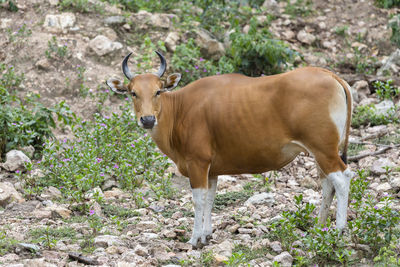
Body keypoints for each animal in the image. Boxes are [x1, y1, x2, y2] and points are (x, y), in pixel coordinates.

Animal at [106, 51, 354, 248]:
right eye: (133, 92)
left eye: (158, 91)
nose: (148, 120)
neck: (181, 109)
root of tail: (332, 76)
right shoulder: (211, 170)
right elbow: (210, 198)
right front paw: (206, 235)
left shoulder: (197, 163)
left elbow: (198, 200)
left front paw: (194, 239)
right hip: (321, 152)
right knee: (327, 185)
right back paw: (320, 227)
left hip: (324, 150)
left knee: (342, 179)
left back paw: (339, 229)